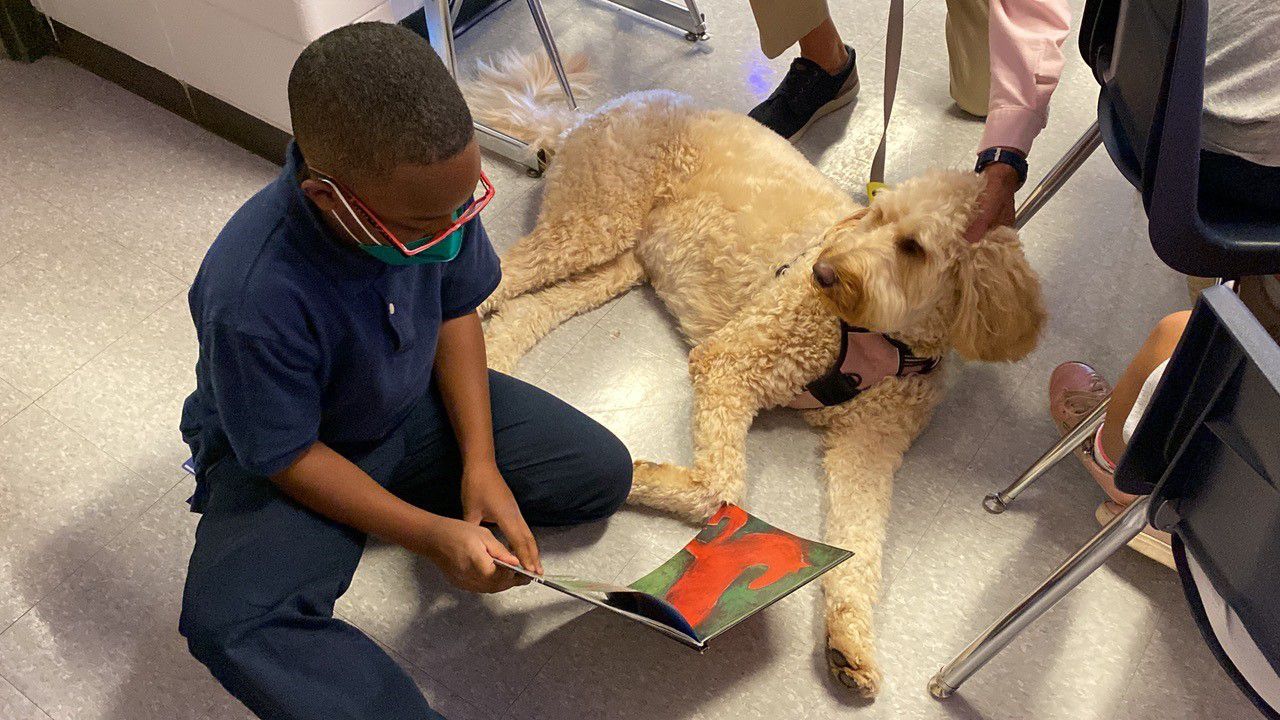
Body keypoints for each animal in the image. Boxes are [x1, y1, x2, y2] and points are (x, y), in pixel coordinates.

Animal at [468, 53, 1039, 691]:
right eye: (876, 216)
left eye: (913, 247)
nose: (823, 271)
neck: (887, 339)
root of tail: (592, 114)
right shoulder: (730, 360)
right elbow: (718, 490)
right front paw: (644, 476)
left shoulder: (868, 450)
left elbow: (861, 548)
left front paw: (849, 640)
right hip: (591, 223)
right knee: (497, 279)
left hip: (615, 264)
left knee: (526, 309)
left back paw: (494, 365)